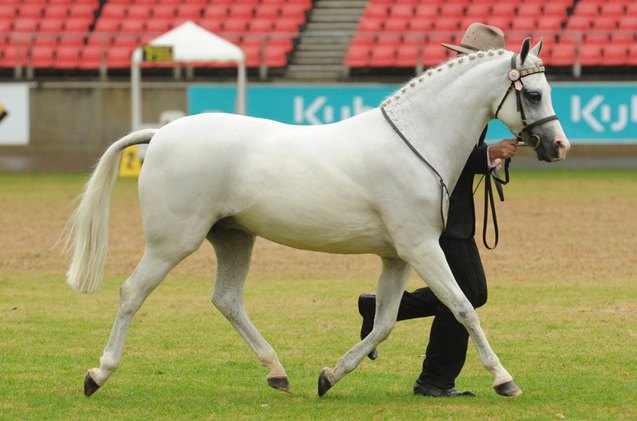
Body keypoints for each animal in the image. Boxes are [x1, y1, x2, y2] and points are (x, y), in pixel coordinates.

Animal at [64, 38, 568, 398]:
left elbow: (385, 321)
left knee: (227, 299)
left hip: (233, 237)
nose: (558, 146)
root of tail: (161, 133)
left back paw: (277, 373)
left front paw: (329, 375)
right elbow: (463, 305)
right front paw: (504, 379)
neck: (417, 141)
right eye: (534, 93)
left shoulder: (398, 256)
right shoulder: (421, 247)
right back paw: (97, 374)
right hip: (172, 242)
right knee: (132, 293)